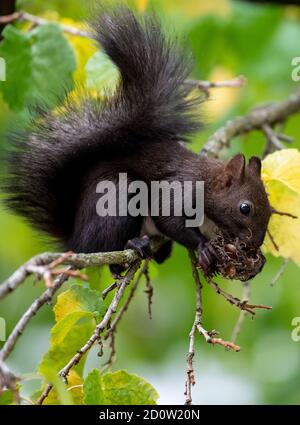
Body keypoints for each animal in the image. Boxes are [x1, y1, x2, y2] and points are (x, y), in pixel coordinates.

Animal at [1, 7, 272, 274]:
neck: (208, 184)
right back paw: (132, 245)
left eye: (270, 205)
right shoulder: (179, 190)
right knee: (108, 254)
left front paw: (256, 261)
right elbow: (169, 219)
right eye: (245, 208)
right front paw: (203, 246)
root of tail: (75, 241)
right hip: (116, 199)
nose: (257, 242)